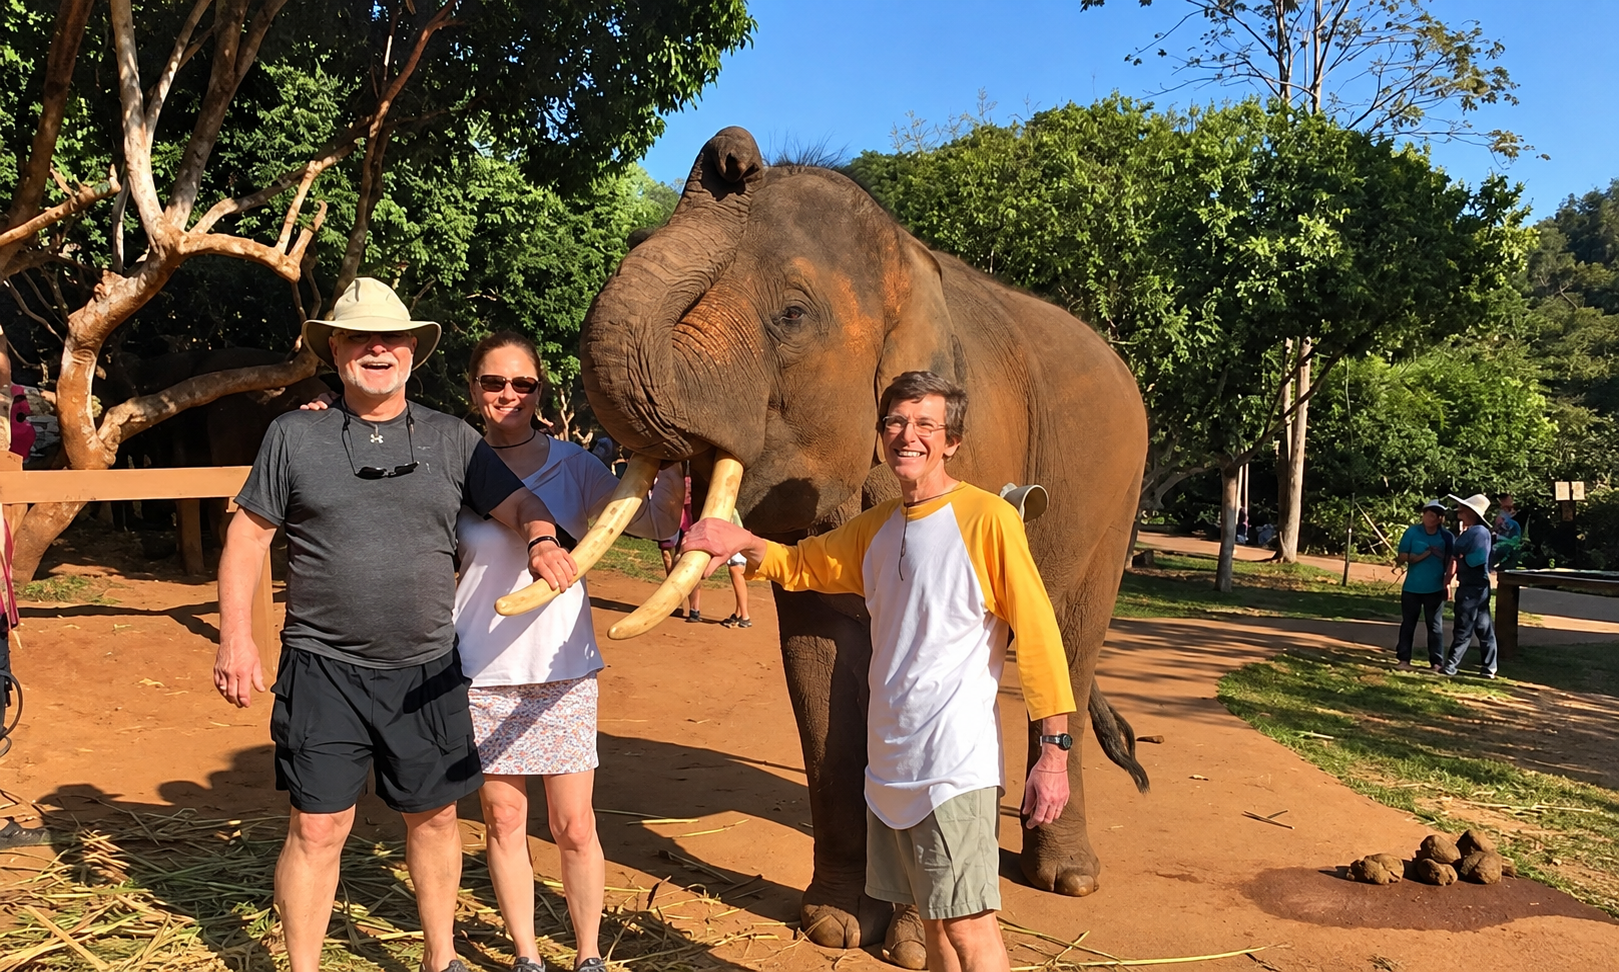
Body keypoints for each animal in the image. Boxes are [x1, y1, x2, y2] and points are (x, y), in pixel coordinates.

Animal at [577, 128, 1149, 961]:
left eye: (791, 314)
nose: (731, 153)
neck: (908, 262)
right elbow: (821, 670)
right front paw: (832, 925)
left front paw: (908, 945)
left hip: (1116, 502)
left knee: (1070, 650)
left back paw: (1065, 878)